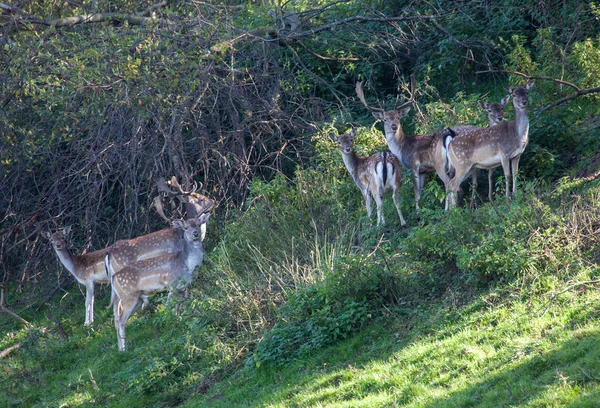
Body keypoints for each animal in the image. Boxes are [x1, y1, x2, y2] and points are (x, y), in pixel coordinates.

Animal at [105, 214, 211, 350]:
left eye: (198, 224)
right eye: (186, 227)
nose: (196, 233)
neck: (185, 265)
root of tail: (114, 278)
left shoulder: (182, 288)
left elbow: (179, 308)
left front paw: (181, 323)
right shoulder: (173, 285)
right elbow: (170, 308)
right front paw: (172, 328)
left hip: (136, 299)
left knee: (119, 319)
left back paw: (121, 348)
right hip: (128, 296)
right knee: (121, 320)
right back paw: (124, 349)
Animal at [356, 81, 454, 212]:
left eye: (398, 117)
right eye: (385, 119)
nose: (394, 126)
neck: (402, 148)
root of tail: (449, 136)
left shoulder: (413, 165)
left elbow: (416, 191)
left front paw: (417, 211)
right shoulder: (423, 171)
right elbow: (420, 191)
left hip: (440, 163)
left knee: (448, 183)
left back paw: (447, 210)